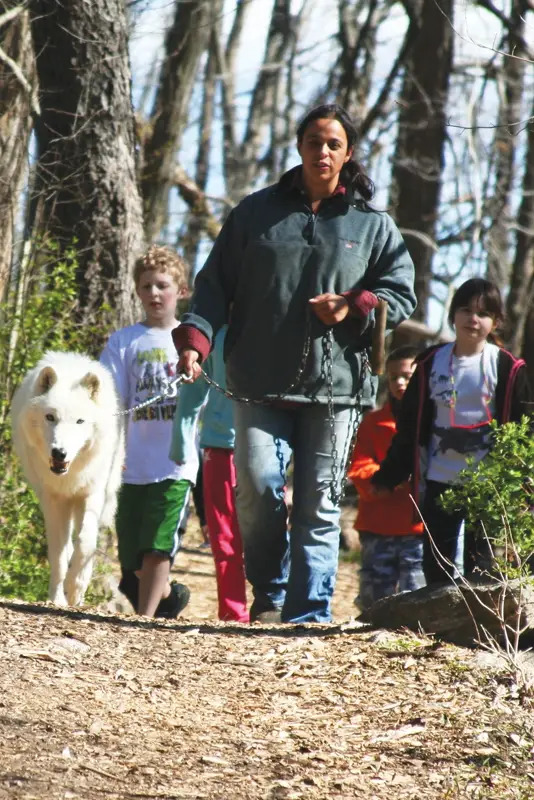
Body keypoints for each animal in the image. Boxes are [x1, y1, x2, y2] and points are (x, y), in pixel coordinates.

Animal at [11, 350, 124, 608]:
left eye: (80, 421)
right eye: (50, 417)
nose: (59, 453)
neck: (68, 475)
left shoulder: (91, 494)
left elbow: (86, 543)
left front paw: (76, 588)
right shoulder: (53, 501)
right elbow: (59, 556)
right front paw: (57, 598)